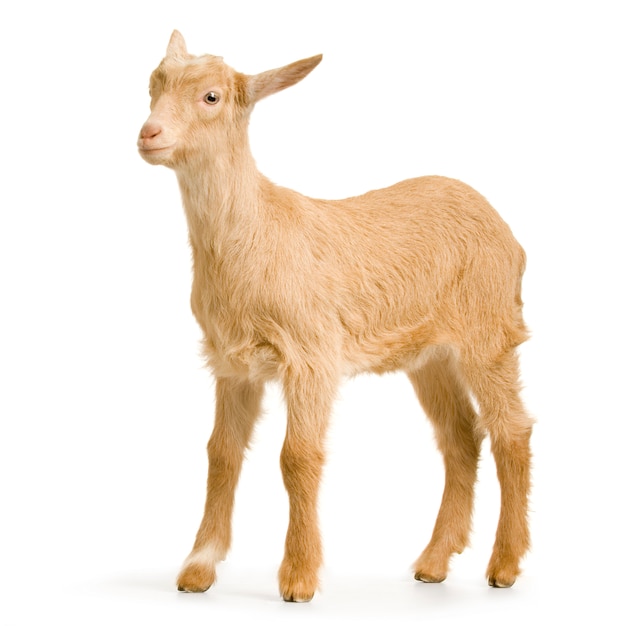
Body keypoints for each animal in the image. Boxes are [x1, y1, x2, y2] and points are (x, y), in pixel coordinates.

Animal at [136, 30, 532, 600]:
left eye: (211, 97)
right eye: (153, 85)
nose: (149, 134)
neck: (256, 232)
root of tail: (509, 234)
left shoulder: (311, 355)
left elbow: (297, 457)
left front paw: (299, 577)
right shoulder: (232, 364)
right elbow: (221, 455)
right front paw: (198, 569)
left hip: (490, 330)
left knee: (512, 431)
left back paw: (504, 565)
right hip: (430, 356)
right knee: (461, 436)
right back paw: (434, 563)